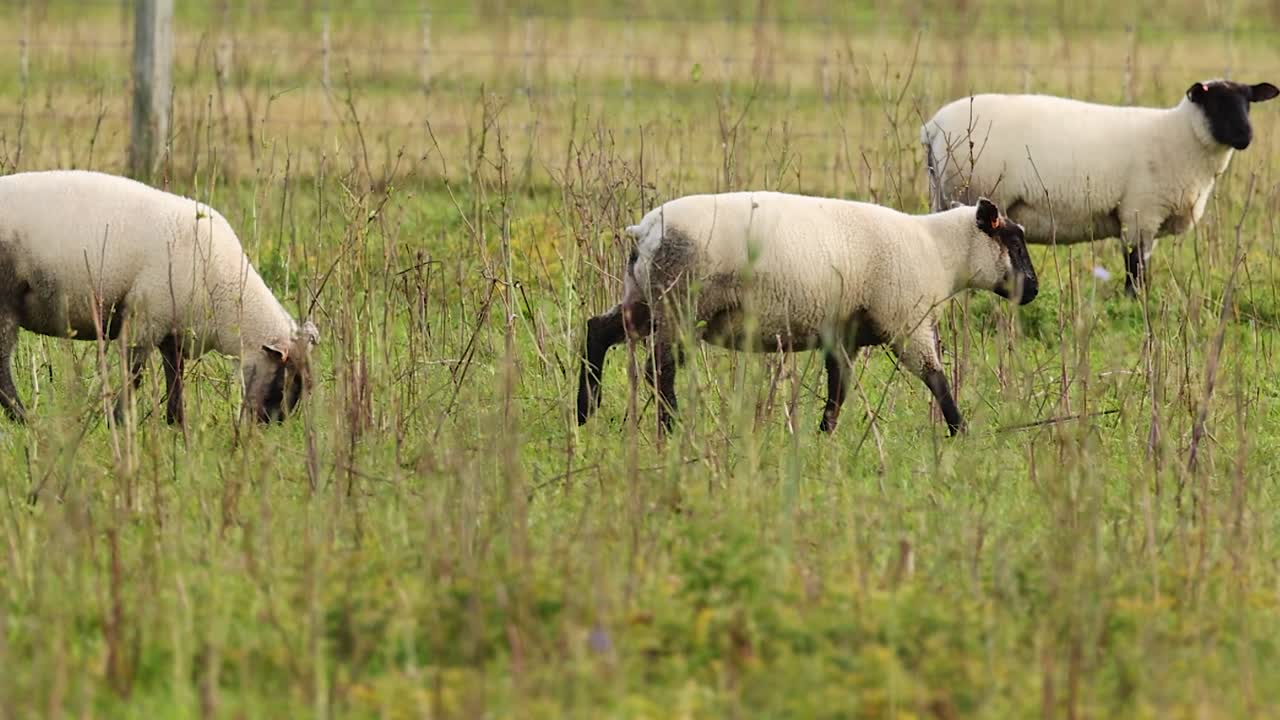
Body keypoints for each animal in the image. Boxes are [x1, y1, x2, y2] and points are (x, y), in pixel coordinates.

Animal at [0, 170, 319, 425]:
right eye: (282, 382)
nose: (269, 425)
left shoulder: (172, 329)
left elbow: (175, 376)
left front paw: (176, 424)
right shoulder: (145, 319)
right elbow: (133, 374)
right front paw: (120, 423)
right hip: (5, 304)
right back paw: (24, 420)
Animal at [576, 192, 1038, 436]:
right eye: (1015, 245)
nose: (1033, 290)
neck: (939, 253)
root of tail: (646, 231)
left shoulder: (844, 333)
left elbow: (838, 388)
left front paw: (823, 436)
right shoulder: (905, 321)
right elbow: (936, 378)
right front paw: (961, 432)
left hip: (644, 298)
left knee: (598, 331)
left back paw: (585, 414)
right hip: (680, 304)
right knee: (660, 369)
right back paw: (669, 429)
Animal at [921, 79, 1279, 294]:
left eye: (1248, 103)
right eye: (1216, 104)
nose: (1247, 136)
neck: (1181, 137)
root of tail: (933, 127)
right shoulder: (1141, 212)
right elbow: (1135, 266)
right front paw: (1135, 302)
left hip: (943, 193)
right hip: (969, 189)